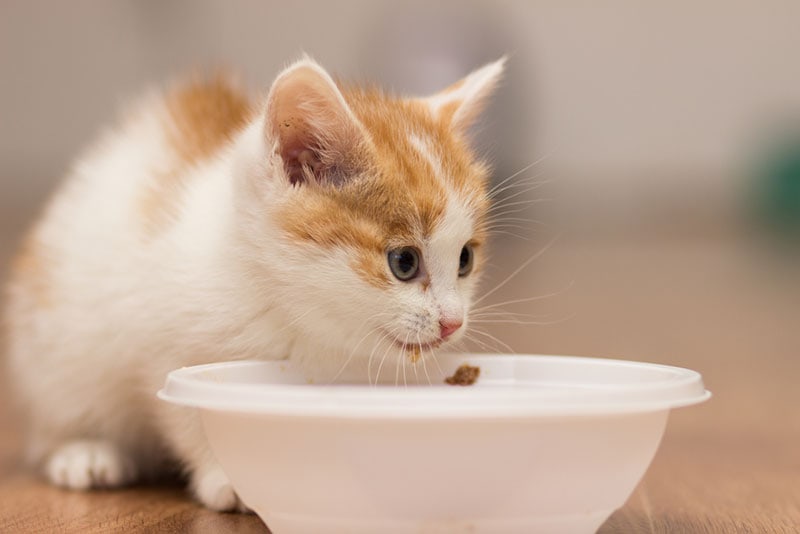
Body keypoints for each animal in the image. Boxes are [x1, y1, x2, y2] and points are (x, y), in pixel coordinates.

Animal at [4, 56, 506, 512]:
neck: (294, 314)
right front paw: (229, 477)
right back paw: (83, 452)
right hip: (56, 349)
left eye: (465, 259)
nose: (453, 323)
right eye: (403, 262)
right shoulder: (160, 345)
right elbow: (186, 413)